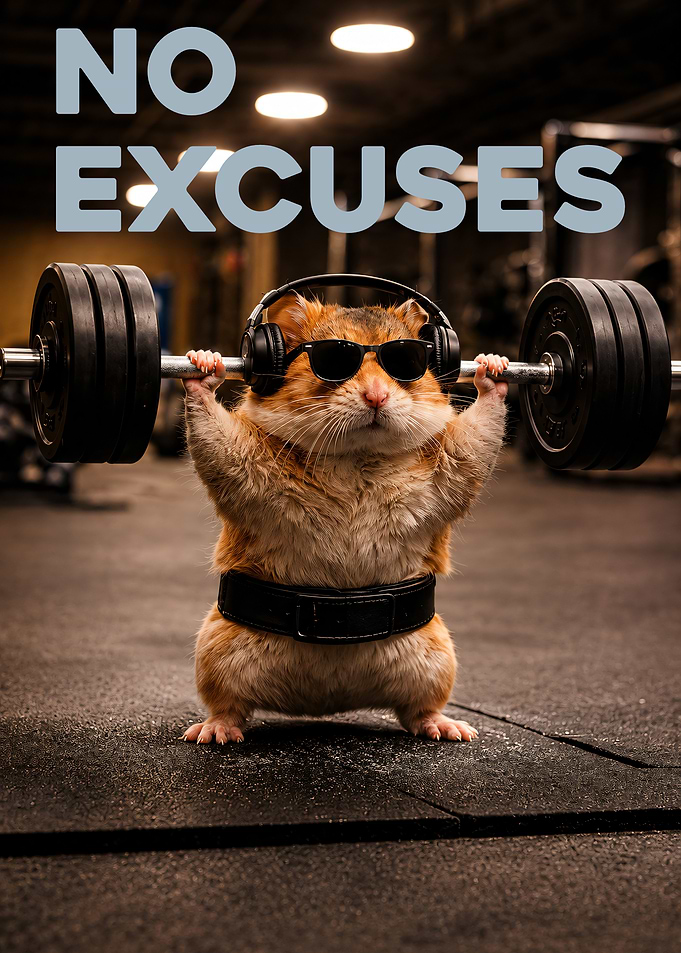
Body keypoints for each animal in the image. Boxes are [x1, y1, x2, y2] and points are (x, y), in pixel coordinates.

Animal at [181, 293, 507, 743]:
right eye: (334, 360)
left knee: (418, 711)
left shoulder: (448, 470)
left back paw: (451, 728)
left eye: (408, 361)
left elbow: (476, 442)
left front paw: (495, 366)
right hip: (215, 653)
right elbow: (218, 443)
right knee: (230, 707)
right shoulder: (248, 469)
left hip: (437, 660)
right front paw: (203, 363)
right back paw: (214, 732)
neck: (357, 456)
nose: (376, 397)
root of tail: (323, 704)